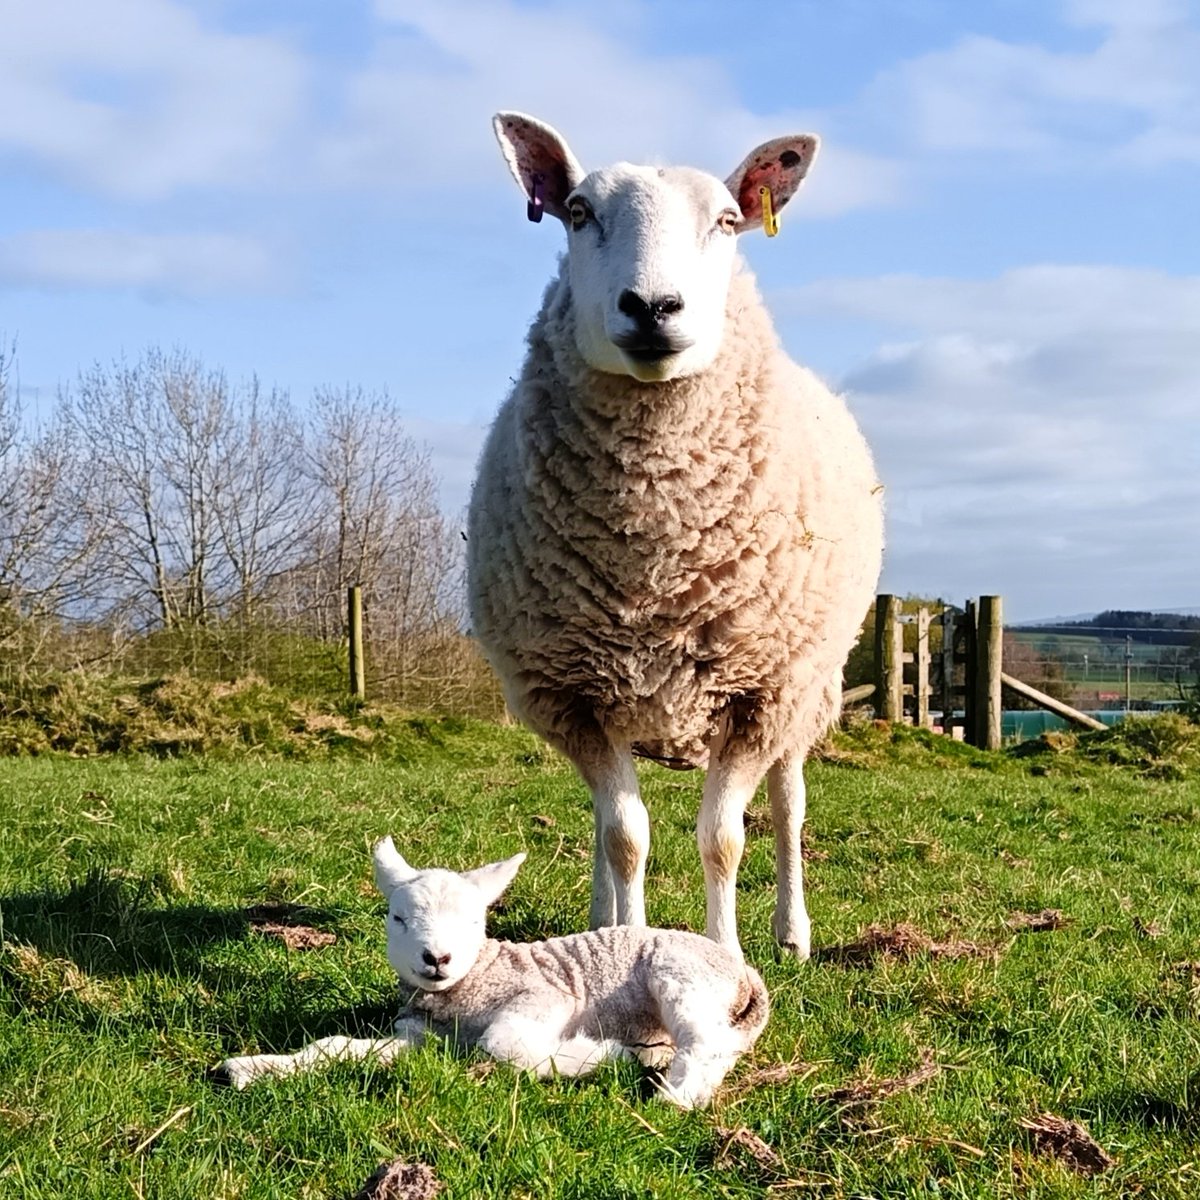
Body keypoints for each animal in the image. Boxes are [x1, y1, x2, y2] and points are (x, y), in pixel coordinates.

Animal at [215, 838, 768, 1109]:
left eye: (474, 919)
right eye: (397, 918)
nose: (436, 958)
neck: (468, 987)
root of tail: (745, 975)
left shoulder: (546, 995)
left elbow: (503, 1044)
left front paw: (596, 1056)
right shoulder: (423, 1036)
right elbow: (335, 1047)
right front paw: (252, 1068)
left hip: (680, 971)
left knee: (705, 1040)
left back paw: (677, 1095)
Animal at [467, 113, 885, 960]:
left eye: (726, 221)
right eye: (579, 213)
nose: (654, 306)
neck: (656, 549)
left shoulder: (761, 693)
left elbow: (723, 839)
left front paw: (726, 956)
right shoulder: (572, 695)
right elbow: (624, 836)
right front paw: (621, 943)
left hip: (810, 685)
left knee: (789, 804)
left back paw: (792, 932)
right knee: (607, 822)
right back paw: (602, 916)